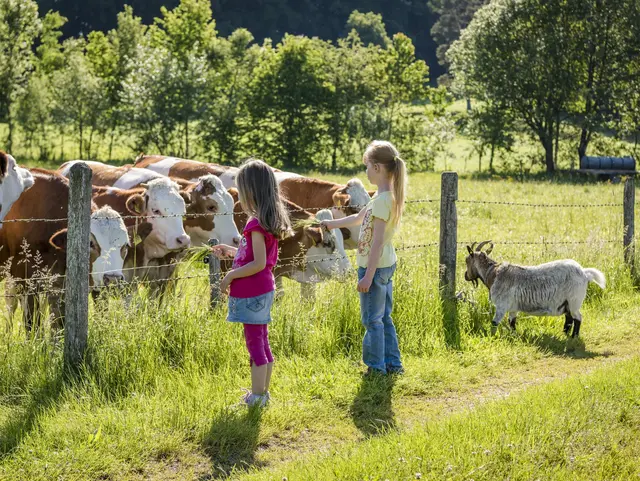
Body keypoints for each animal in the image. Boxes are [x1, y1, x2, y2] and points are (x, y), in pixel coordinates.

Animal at [464, 240, 604, 338]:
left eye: (466, 260)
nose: (466, 276)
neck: (494, 273)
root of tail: (584, 273)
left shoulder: (501, 305)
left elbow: (494, 322)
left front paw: (492, 337)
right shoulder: (513, 307)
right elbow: (512, 322)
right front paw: (513, 336)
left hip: (574, 300)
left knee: (578, 317)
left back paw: (574, 337)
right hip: (567, 302)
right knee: (569, 318)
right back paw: (564, 334)